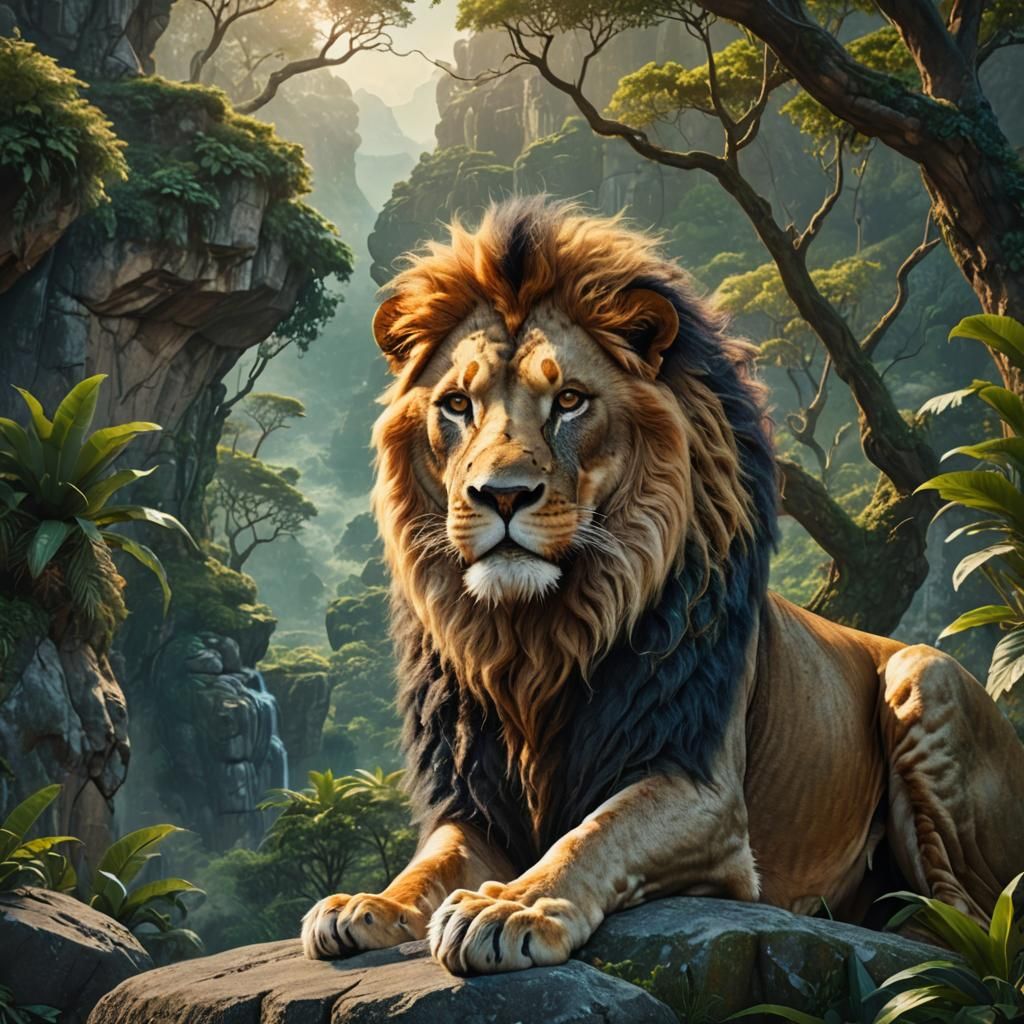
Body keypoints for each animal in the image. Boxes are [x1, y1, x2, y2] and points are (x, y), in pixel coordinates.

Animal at [302, 197, 1024, 975]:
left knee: (967, 920)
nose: (501, 495)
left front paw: (512, 905)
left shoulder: (704, 794)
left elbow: (594, 834)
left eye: (570, 401)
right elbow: (428, 864)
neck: (534, 638)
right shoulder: (475, 802)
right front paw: (364, 904)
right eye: (458, 404)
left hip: (924, 678)